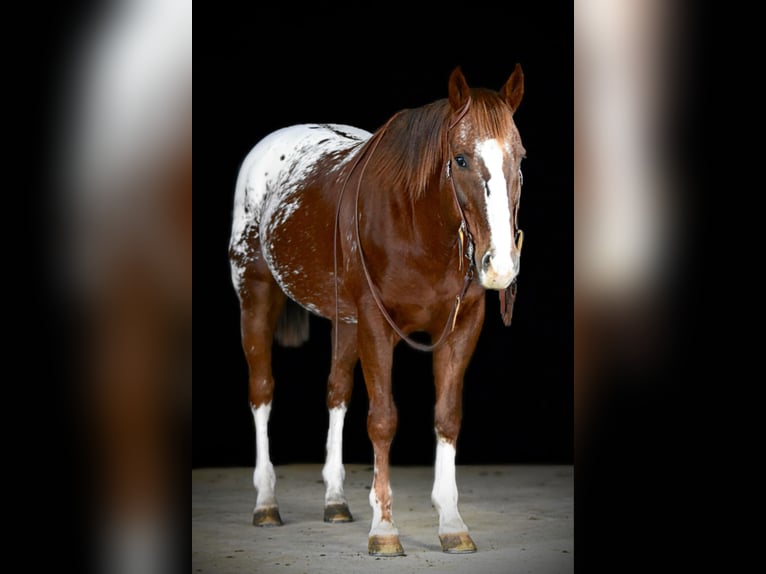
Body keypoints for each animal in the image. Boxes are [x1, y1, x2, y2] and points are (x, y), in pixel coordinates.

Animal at [230, 64, 528, 560]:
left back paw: (335, 501)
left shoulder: (462, 328)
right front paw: (384, 529)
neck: (416, 225)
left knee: (336, 391)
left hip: (344, 320)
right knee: (262, 391)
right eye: (461, 159)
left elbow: (447, 417)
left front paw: (452, 523)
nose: (499, 265)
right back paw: (265, 503)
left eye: (520, 158)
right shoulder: (375, 324)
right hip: (256, 295)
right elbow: (383, 419)